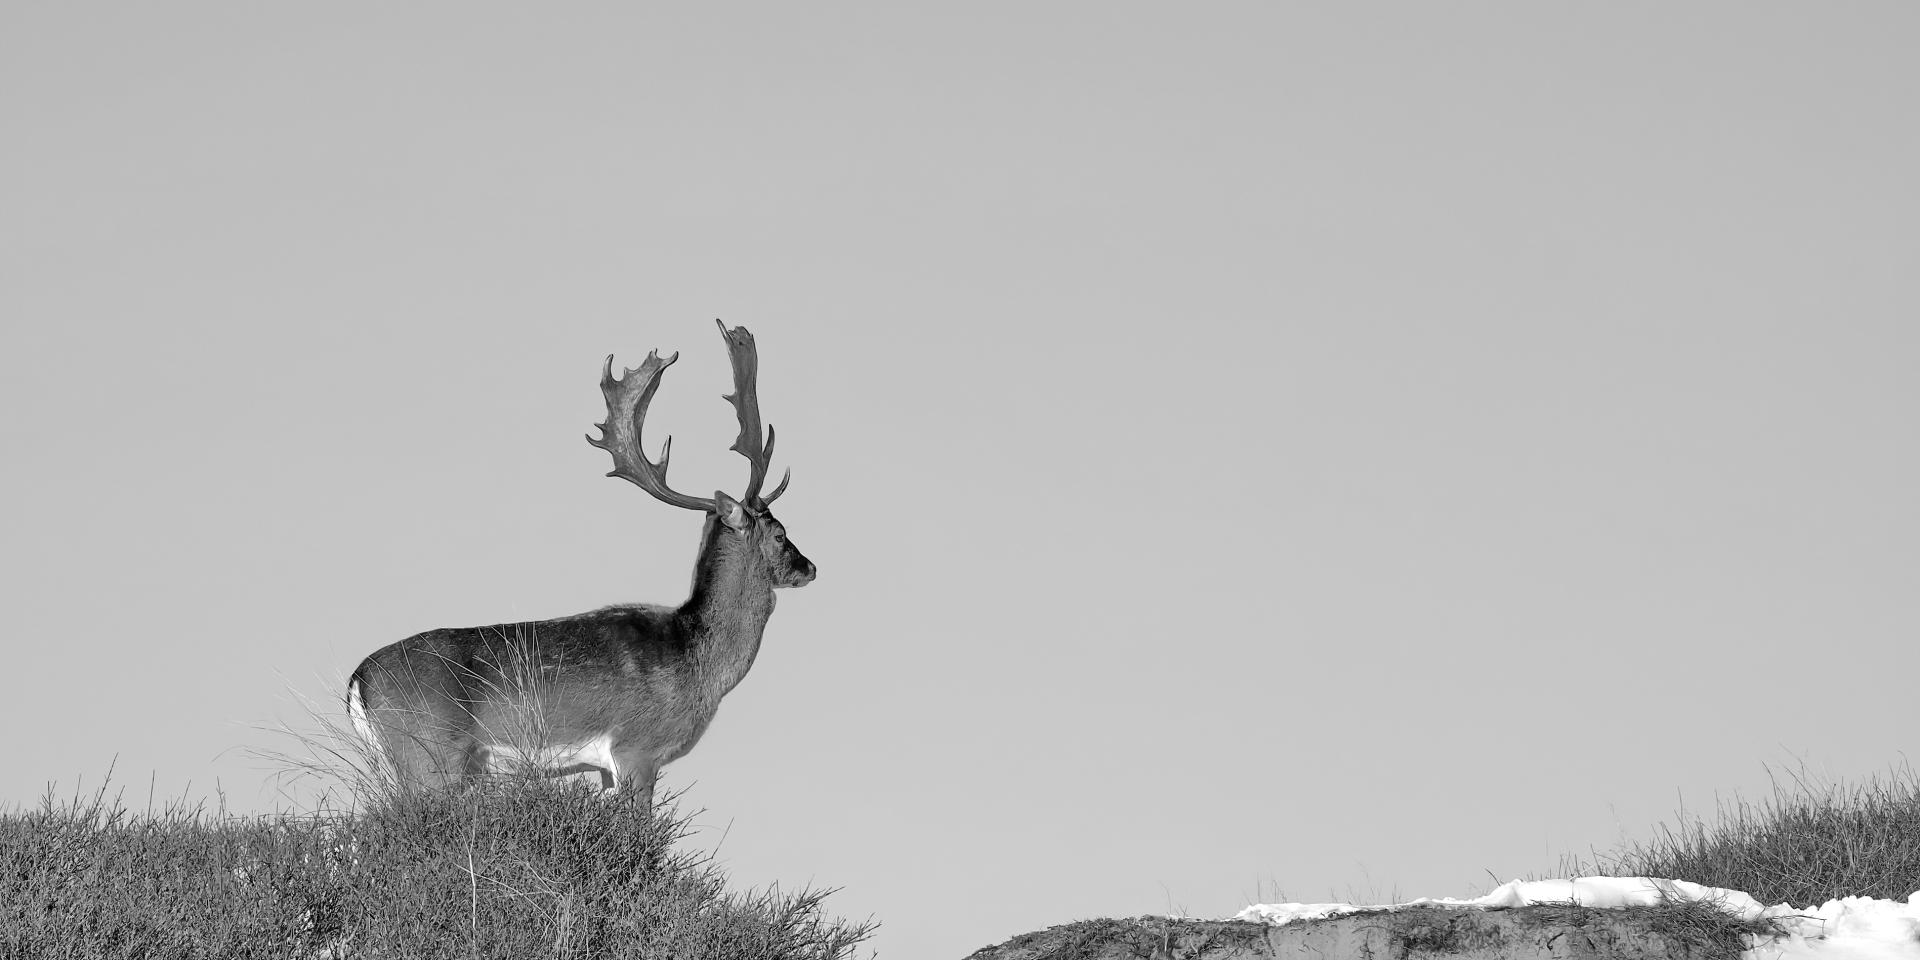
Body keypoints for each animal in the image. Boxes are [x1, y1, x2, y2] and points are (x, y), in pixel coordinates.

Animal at [349, 318, 814, 806]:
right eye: (780, 533)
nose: (810, 567)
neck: (694, 658)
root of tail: (358, 679)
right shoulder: (636, 746)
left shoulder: (606, 766)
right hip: (428, 755)